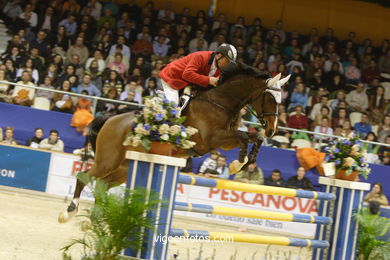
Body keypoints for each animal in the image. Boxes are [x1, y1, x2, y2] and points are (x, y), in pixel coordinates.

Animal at [58, 63, 290, 223]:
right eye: (270, 99)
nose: (272, 130)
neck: (221, 101)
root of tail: (110, 120)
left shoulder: (223, 142)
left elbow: (253, 138)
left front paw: (242, 162)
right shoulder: (211, 139)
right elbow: (244, 137)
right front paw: (239, 162)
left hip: (122, 168)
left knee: (102, 185)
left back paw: (95, 220)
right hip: (108, 160)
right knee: (84, 176)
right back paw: (68, 212)